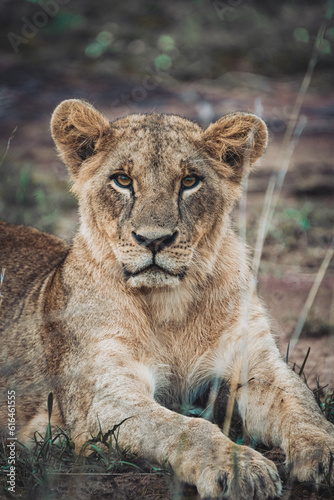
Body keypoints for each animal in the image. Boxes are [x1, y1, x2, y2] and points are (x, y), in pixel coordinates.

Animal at [0, 98, 334, 500]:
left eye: (189, 181)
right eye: (123, 180)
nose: (154, 240)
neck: (171, 306)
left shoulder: (257, 366)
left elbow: (304, 407)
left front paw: (325, 453)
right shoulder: (102, 396)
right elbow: (186, 428)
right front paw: (242, 469)